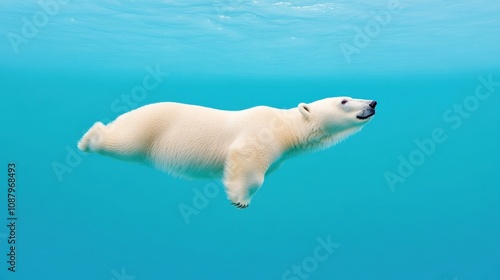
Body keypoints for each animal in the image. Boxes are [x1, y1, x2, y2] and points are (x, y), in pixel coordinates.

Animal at [77, 96, 376, 208]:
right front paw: (240, 199)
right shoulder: (261, 133)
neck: (285, 126)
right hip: (145, 131)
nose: (373, 102)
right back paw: (88, 139)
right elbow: (249, 163)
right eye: (344, 100)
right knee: (119, 142)